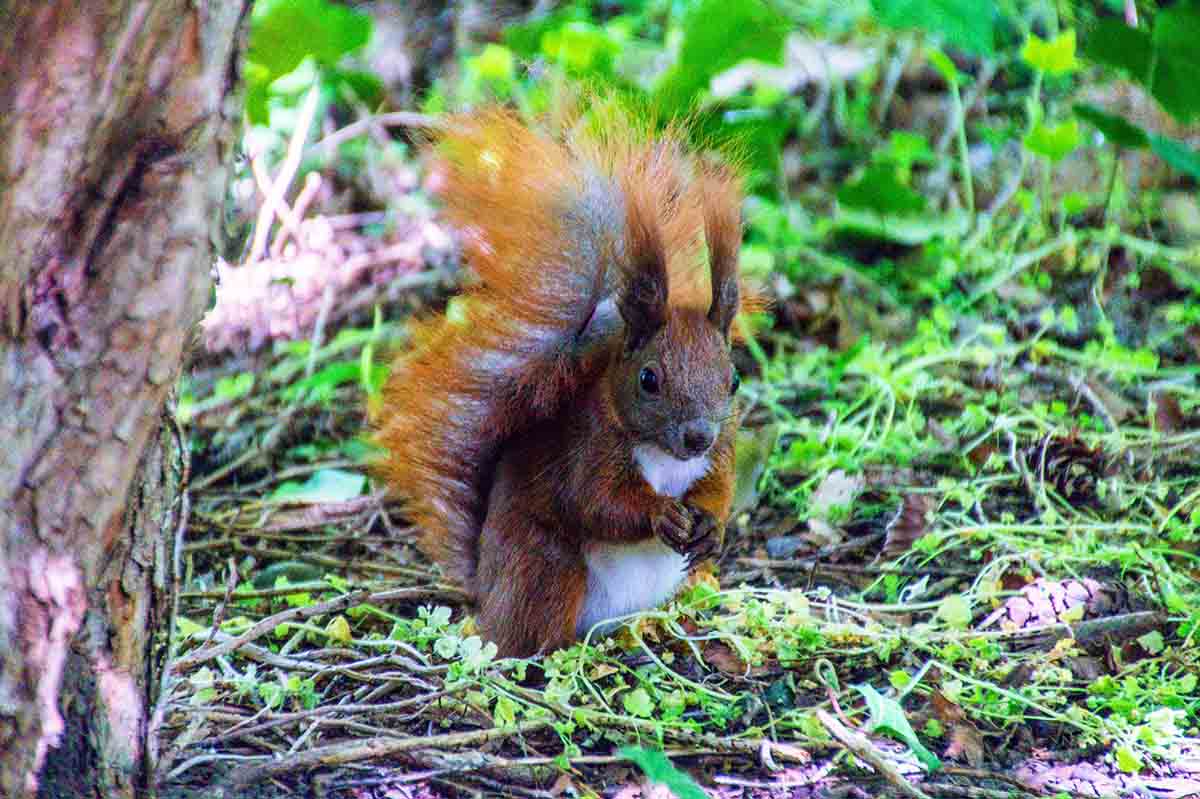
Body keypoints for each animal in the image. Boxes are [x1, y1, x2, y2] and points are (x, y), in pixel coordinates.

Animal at [369, 105, 753, 652]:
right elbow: (596, 504)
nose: (698, 436)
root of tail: (486, 593)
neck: (662, 454)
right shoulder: (588, 453)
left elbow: (719, 491)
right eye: (649, 380)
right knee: (529, 635)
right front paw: (660, 514)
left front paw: (711, 530)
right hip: (549, 569)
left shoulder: (723, 451)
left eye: (734, 380)